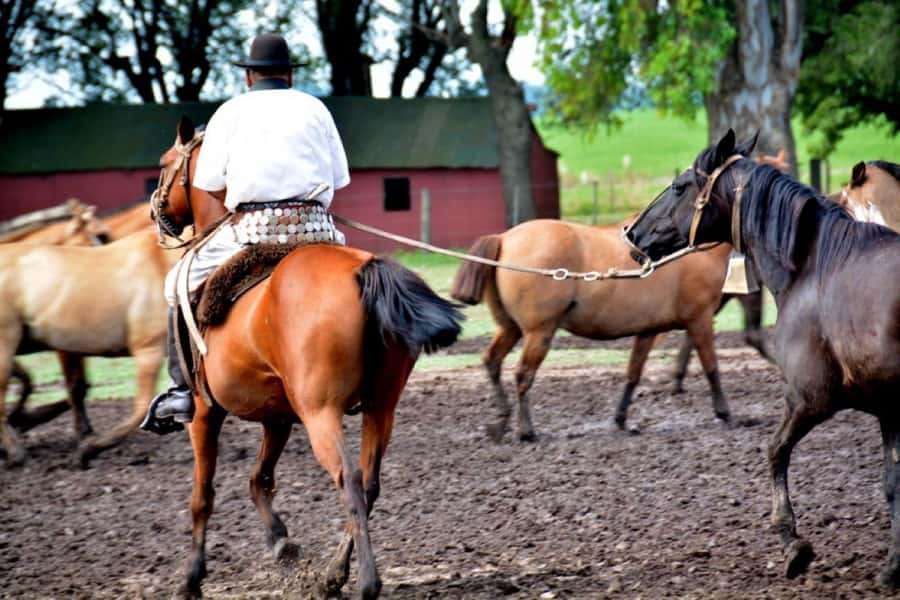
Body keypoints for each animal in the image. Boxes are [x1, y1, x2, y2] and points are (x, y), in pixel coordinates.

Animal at [150, 116, 461, 598]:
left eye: (166, 163)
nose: (156, 214)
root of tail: (364, 271)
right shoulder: (278, 417)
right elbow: (259, 480)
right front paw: (282, 545)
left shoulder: (204, 414)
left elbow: (203, 497)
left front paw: (191, 578)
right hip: (380, 406)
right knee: (369, 482)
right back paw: (333, 574)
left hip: (321, 412)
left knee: (349, 481)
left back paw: (365, 582)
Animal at [448, 158, 765, 440]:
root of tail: (503, 239)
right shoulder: (699, 319)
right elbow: (711, 368)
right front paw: (726, 413)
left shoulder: (649, 330)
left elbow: (633, 373)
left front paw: (621, 419)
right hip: (539, 332)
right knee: (523, 374)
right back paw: (526, 430)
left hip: (510, 328)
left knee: (492, 362)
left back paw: (501, 421)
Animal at [624, 129, 900, 588]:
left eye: (680, 186)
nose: (631, 233)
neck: (816, 266)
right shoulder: (887, 410)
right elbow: (892, 483)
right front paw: (894, 565)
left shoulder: (811, 399)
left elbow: (774, 451)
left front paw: (793, 546)